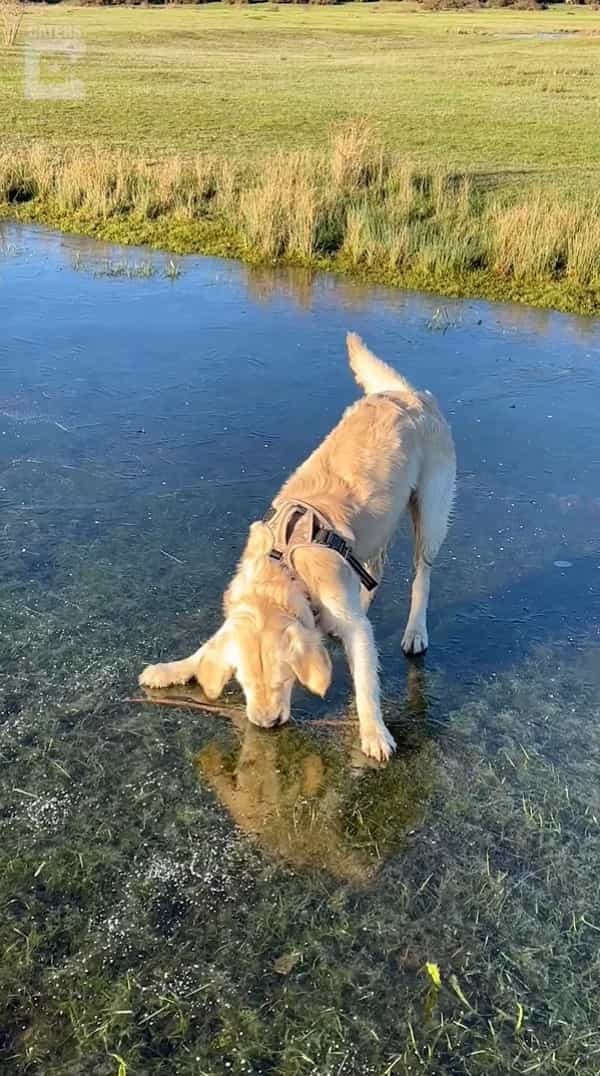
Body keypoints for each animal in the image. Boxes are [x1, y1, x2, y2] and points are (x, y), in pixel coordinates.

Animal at [140, 331, 458, 761]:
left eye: (284, 680)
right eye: (243, 682)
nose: (266, 724)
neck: (284, 565)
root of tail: (405, 394)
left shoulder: (355, 627)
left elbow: (365, 683)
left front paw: (374, 732)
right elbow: (205, 648)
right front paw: (170, 669)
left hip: (431, 512)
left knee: (421, 576)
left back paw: (415, 630)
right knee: (375, 567)